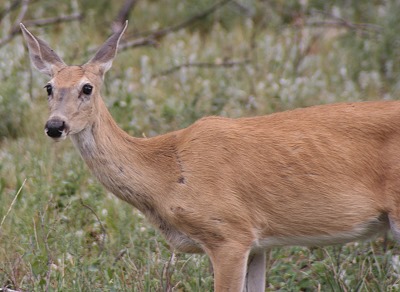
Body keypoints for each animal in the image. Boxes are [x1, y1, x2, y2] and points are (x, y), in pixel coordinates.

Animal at [20, 21, 400, 290]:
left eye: (87, 87)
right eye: (49, 87)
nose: (55, 125)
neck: (166, 173)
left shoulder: (228, 233)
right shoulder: (259, 243)